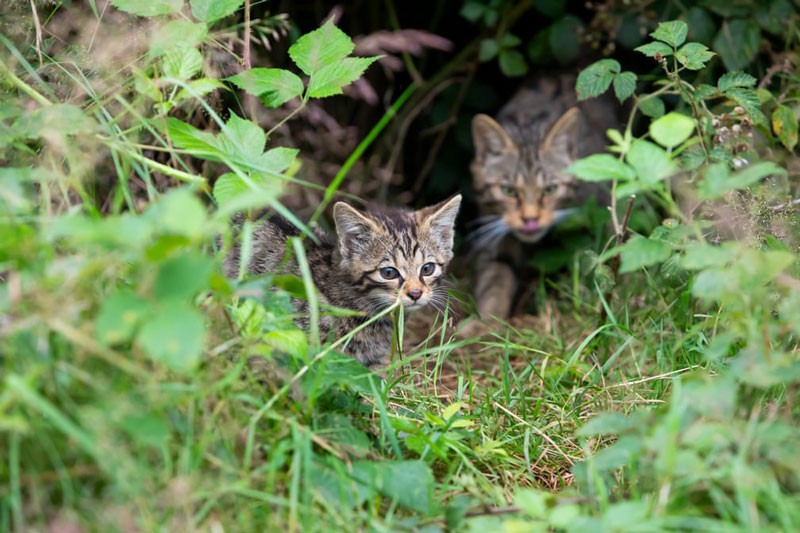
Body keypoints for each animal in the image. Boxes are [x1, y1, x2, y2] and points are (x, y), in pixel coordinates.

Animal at [468, 72, 620, 322]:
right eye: (508, 190)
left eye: (550, 189)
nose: (530, 219)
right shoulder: (495, 227)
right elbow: (495, 277)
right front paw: (485, 322)